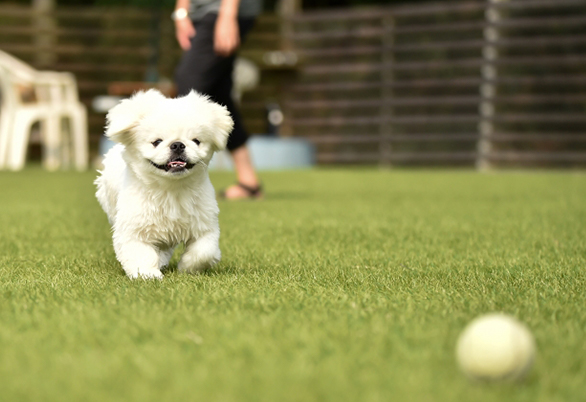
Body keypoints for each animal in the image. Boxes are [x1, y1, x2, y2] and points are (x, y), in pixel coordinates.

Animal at [94, 89, 232, 280]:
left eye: (196, 141)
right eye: (157, 142)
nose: (178, 144)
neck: (171, 190)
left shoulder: (205, 226)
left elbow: (204, 252)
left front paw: (187, 268)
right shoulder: (133, 230)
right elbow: (142, 254)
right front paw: (147, 274)